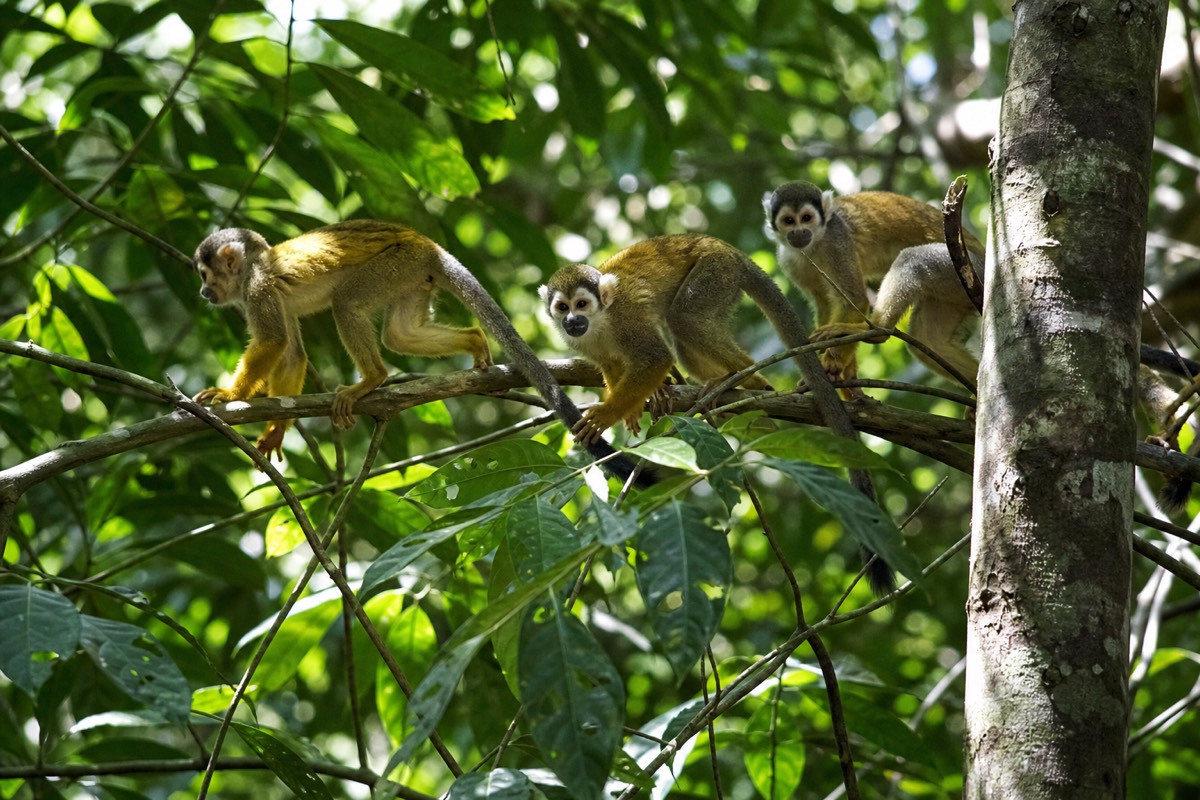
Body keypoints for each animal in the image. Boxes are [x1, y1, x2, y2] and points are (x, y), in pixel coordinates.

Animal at [191, 219, 645, 484]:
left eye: (205, 274)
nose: (202, 292)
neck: (253, 268)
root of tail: (426, 243)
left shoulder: (258, 290)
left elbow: (273, 342)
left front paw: (230, 395)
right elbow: (290, 353)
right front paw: (276, 429)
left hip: (393, 265)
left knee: (347, 304)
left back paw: (373, 380)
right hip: (411, 276)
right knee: (400, 335)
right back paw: (473, 340)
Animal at [540, 233, 897, 593]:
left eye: (582, 304)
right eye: (562, 308)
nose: (571, 321)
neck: (599, 324)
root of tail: (721, 246)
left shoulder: (627, 321)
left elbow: (655, 357)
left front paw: (608, 414)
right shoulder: (584, 343)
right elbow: (613, 366)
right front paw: (637, 404)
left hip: (716, 273)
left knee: (684, 319)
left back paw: (744, 376)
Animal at [764, 180, 986, 388]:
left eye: (806, 218)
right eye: (789, 221)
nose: (799, 232)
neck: (815, 242)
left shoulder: (836, 240)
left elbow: (854, 299)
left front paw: (833, 364)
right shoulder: (789, 261)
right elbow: (824, 304)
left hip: (967, 268)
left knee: (911, 259)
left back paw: (877, 331)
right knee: (928, 341)